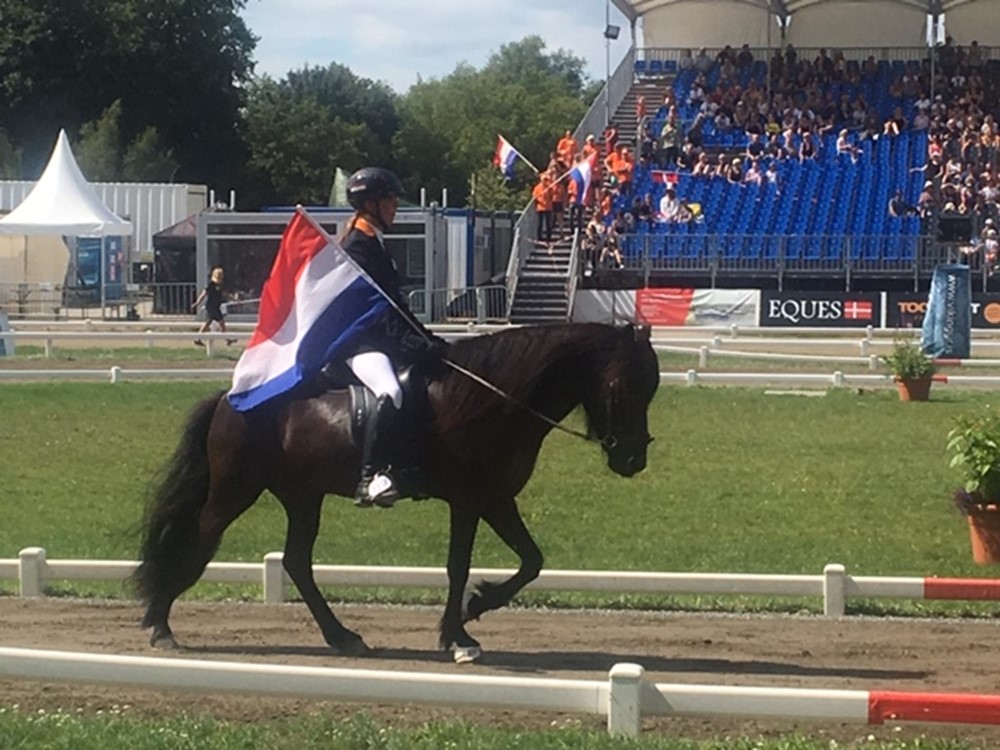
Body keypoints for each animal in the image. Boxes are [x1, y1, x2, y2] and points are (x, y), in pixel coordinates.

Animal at [135, 324, 664, 664]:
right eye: (623, 386)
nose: (633, 460)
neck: (497, 397)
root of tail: (230, 398)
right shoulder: (469, 500)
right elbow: (458, 567)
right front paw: (458, 634)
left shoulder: (495, 498)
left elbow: (531, 561)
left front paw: (476, 607)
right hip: (235, 491)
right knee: (198, 540)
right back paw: (161, 623)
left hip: (303, 497)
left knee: (297, 562)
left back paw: (343, 637)